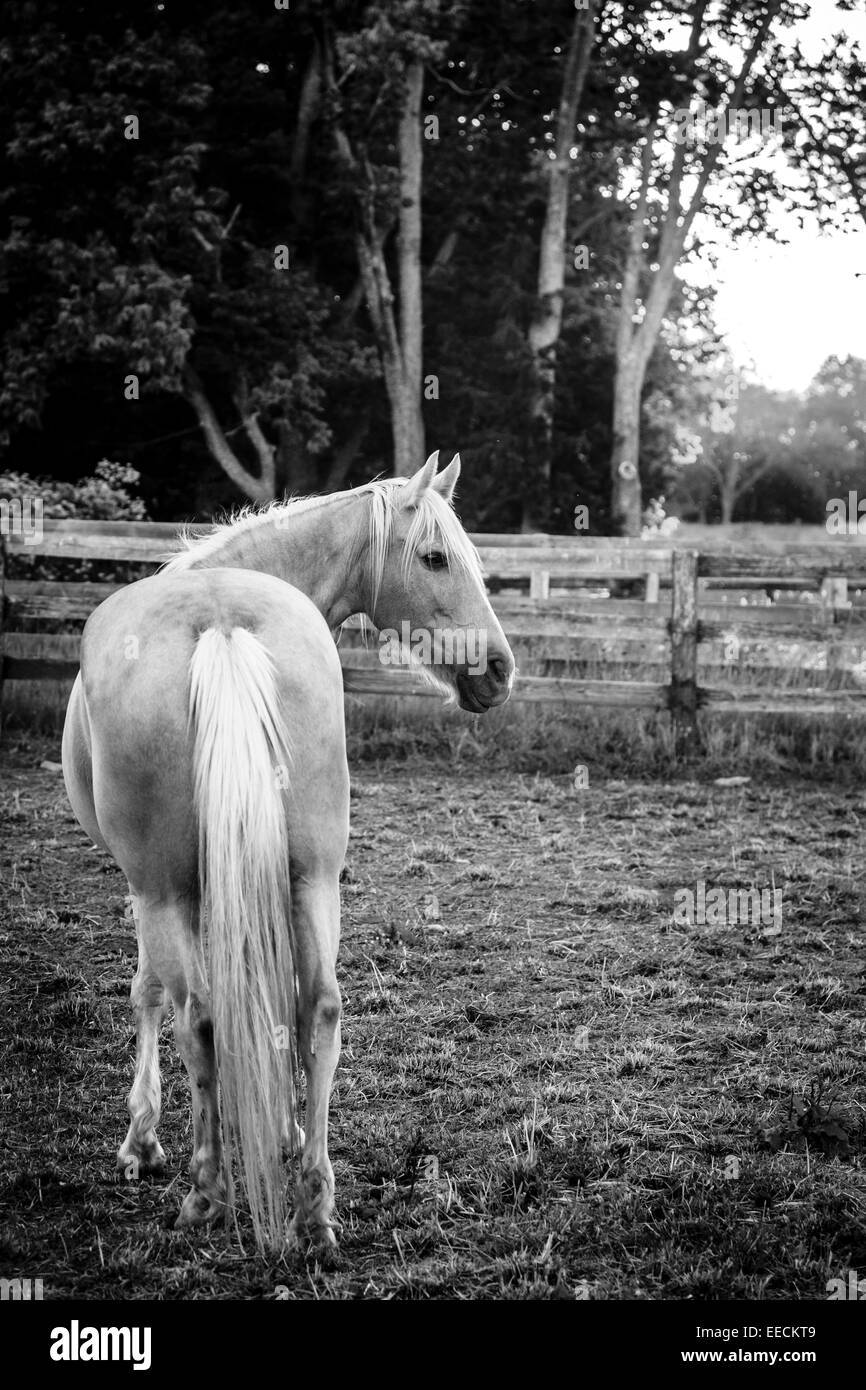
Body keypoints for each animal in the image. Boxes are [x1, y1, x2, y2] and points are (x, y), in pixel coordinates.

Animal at [64, 453, 517, 1251]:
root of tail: (220, 621)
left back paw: (208, 1194)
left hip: (162, 889)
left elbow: (149, 991)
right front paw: (282, 1130)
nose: (498, 668)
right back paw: (314, 1205)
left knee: (199, 1016)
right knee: (320, 1009)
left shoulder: (150, 887)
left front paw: (141, 1140)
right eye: (435, 557)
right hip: (311, 877)